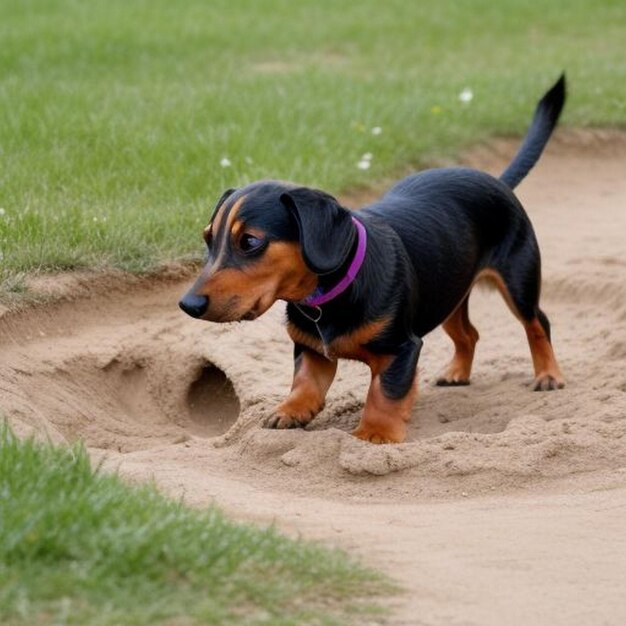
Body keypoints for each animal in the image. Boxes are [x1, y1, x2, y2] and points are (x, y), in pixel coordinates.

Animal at [178, 74, 564, 444]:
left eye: (250, 241)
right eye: (208, 239)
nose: (188, 305)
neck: (326, 296)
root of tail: (498, 182)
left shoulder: (402, 348)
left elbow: (385, 393)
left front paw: (375, 434)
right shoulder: (310, 349)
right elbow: (305, 383)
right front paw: (290, 410)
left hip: (518, 282)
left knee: (537, 323)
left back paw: (548, 375)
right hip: (448, 295)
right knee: (468, 334)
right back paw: (457, 373)